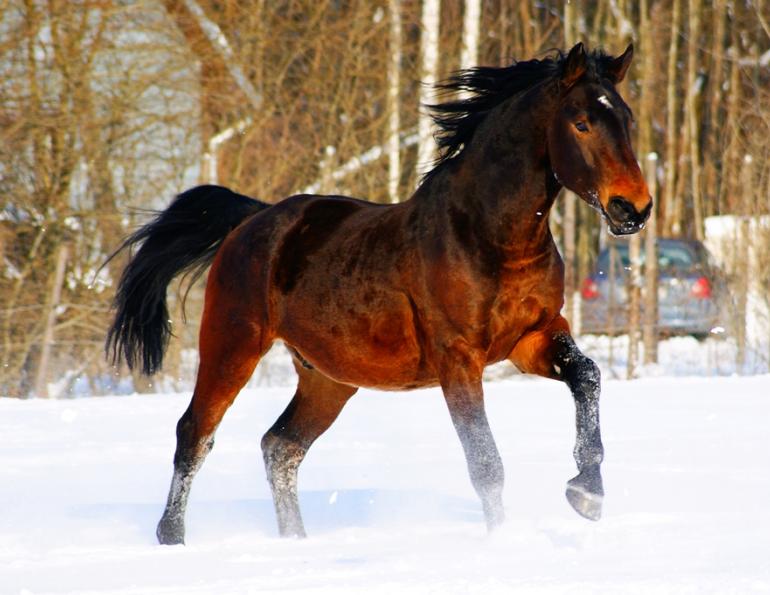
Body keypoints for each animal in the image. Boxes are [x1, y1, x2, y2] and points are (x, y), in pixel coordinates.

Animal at [107, 43, 651, 545]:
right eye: (581, 123)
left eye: (626, 119)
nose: (634, 208)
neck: (489, 237)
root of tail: (251, 220)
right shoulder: (459, 359)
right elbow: (485, 462)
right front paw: (501, 540)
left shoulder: (532, 338)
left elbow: (587, 376)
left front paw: (587, 492)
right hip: (232, 344)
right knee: (196, 434)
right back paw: (173, 538)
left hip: (327, 377)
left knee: (280, 447)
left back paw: (296, 542)